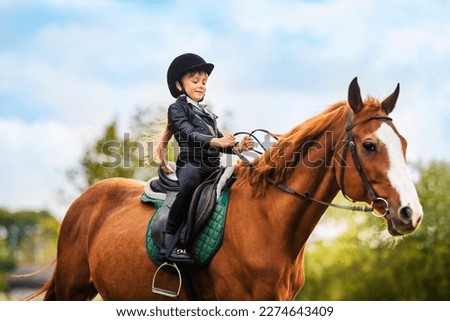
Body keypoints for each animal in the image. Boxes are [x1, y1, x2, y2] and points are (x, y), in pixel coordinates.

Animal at [29, 78, 422, 300]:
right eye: (369, 145)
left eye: (403, 143)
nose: (411, 213)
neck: (268, 222)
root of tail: (85, 201)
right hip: (73, 290)